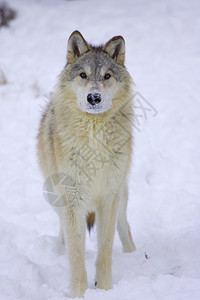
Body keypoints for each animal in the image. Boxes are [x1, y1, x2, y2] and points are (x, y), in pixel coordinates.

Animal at [36, 30, 135, 298]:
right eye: (83, 75)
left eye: (107, 76)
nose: (94, 97)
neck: (94, 139)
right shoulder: (72, 201)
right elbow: (77, 255)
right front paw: (78, 293)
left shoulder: (109, 197)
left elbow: (105, 249)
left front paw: (105, 288)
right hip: (53, 196)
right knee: (65, 233)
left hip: (121, 194)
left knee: (124, 226)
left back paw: (133, 254)